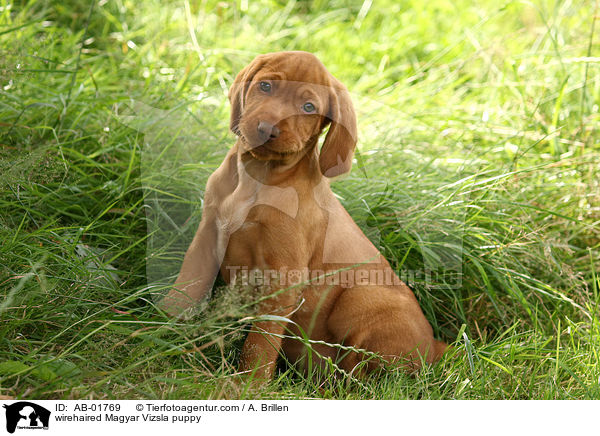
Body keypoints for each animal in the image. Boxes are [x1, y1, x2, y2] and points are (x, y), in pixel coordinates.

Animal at [159, 50, 446, 378]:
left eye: (308, 107)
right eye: (266, 86)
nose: (266, 129)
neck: (259, 177)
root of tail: (436, 346)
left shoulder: (285, 277)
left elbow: (261, 342)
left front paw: (248, 384)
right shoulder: (207, 236)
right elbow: (187, 287)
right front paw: (159, 331)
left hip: (362, 296)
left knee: (361, 374)